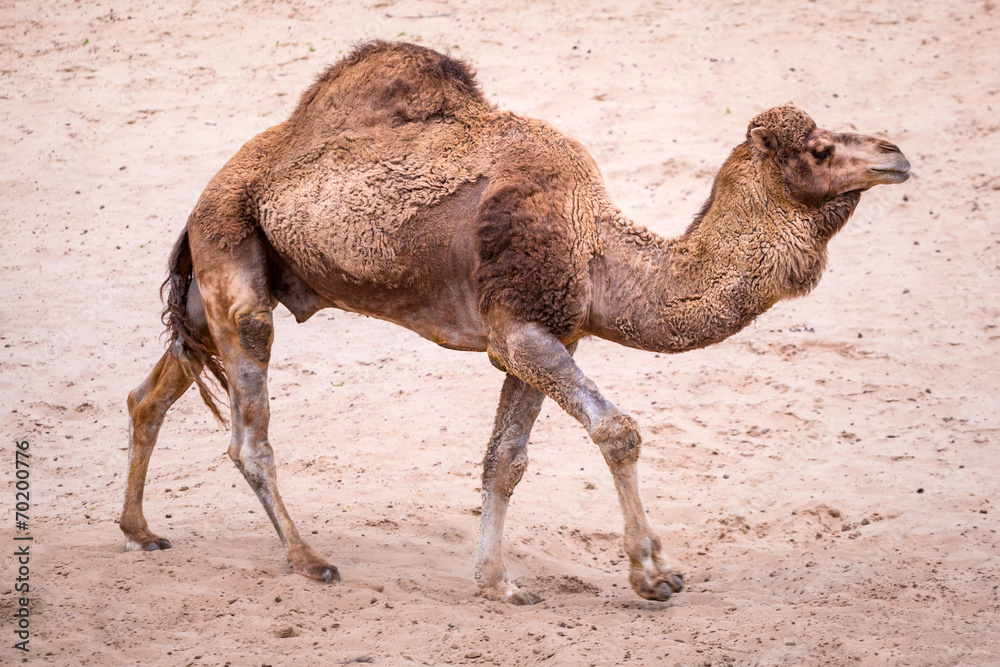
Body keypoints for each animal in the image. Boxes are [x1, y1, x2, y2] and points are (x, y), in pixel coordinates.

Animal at [117, 41, 908, 604]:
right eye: (821, 149)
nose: (896, 153)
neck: (595, 248)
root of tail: (206, 194)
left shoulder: (542, 338)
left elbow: (505, 460)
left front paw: (498, 581)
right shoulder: (523, 329)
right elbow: (618, 430)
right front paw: (651, 573)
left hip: (214, 291)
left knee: (150, 393)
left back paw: (139, 530)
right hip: (234, 263)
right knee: (248, 434)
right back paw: (310, 560)